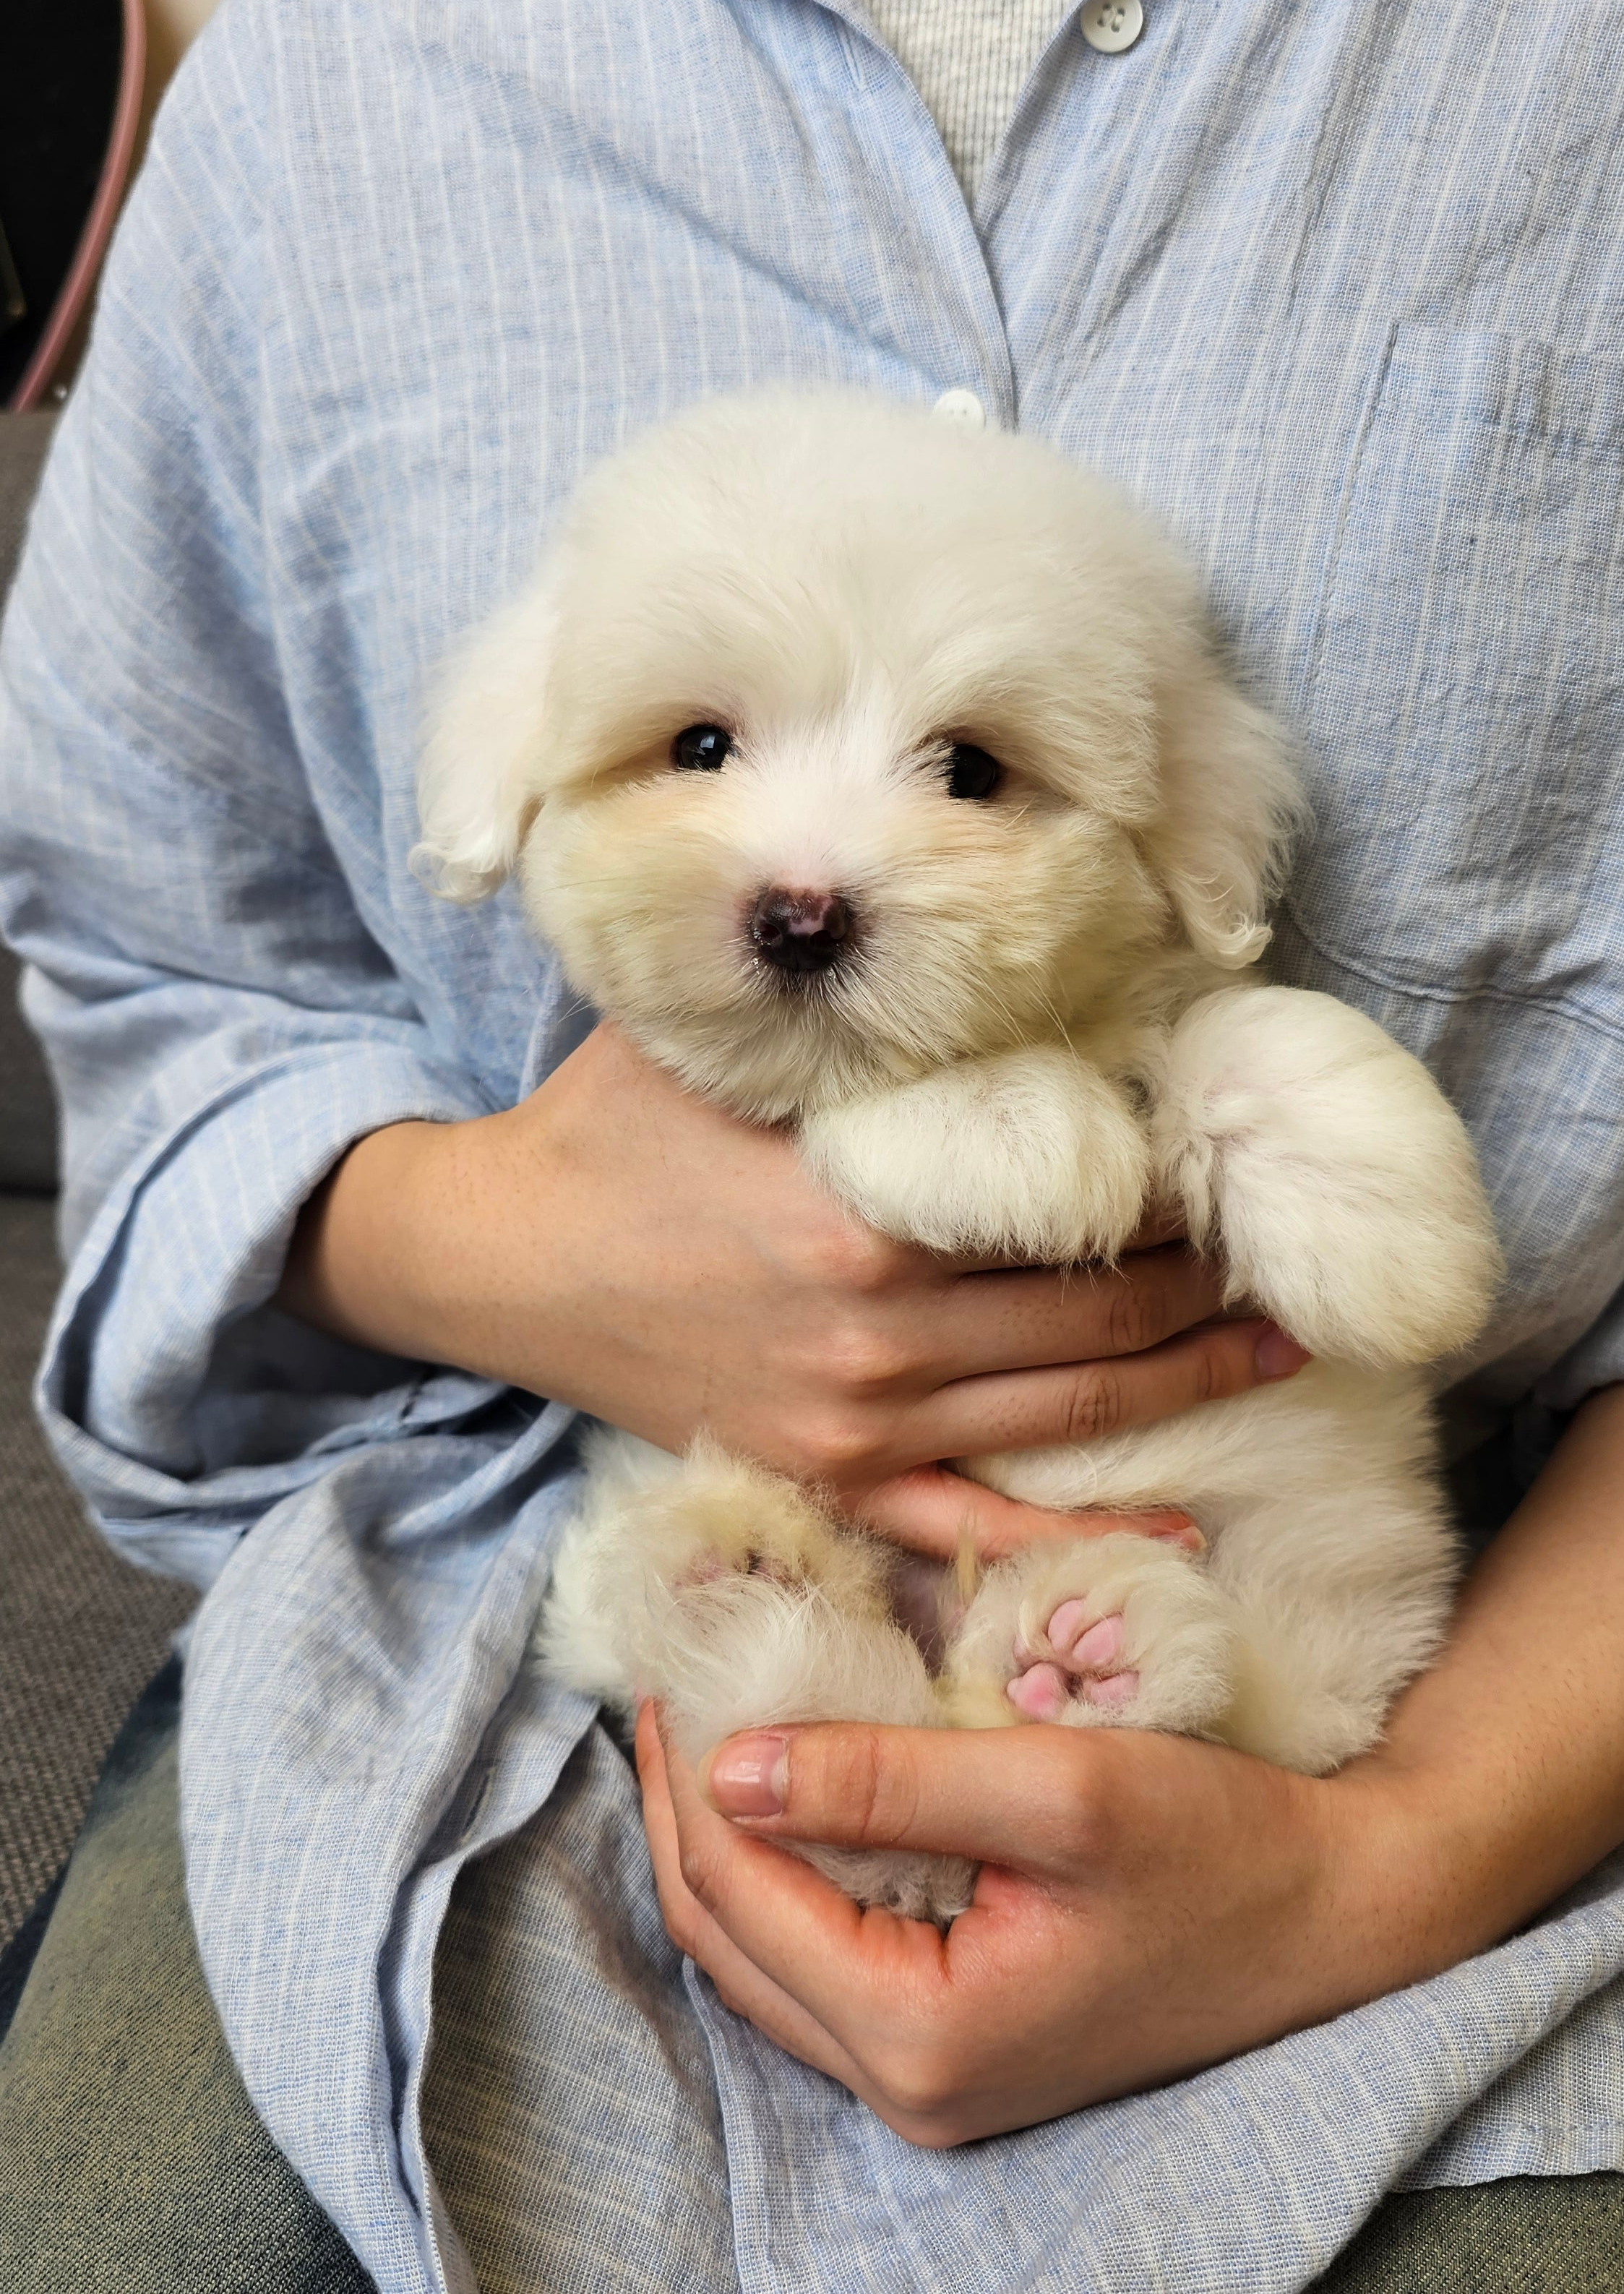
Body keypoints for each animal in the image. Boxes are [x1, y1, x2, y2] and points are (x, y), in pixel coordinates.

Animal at [413, 390, 1504, 1917]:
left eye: (973, 771)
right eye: (700, 748)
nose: (801, 913)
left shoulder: (1175, 994)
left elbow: (1250, 1025)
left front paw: (1390, 1241)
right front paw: (1006, 1126)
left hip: (1330, 1565)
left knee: (1254, 1707)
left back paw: (1090, 1644)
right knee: (805, 1725)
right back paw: (756, 1578)